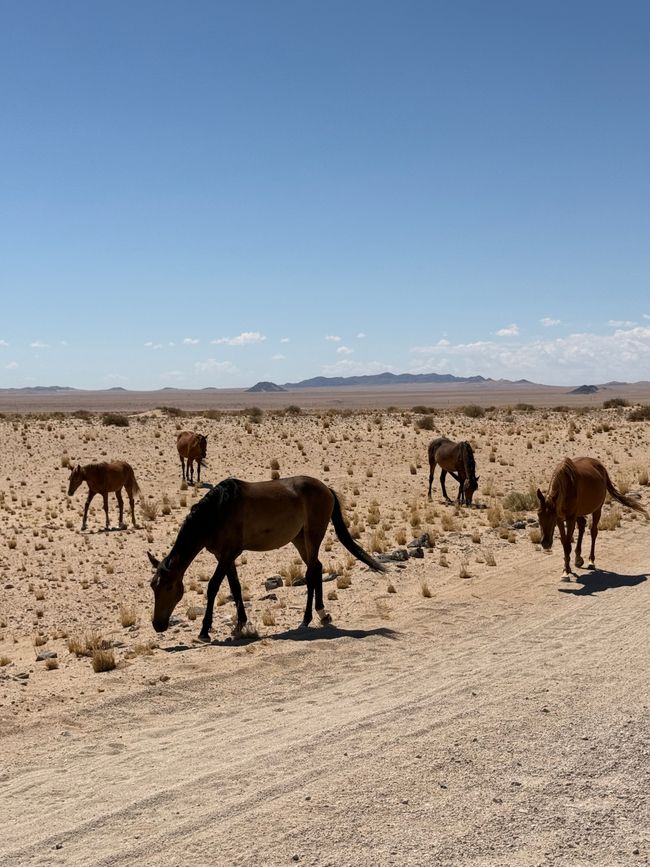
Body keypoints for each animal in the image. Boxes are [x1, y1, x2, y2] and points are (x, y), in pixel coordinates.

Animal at [147, 475, 386, 641]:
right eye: (153, 586)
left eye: (168, 587)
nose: (157, 625)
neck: (217, 511)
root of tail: (326, 489)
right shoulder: (224, 556)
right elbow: (235, 587)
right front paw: (241, 624)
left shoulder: (229, 554)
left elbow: (213, 586)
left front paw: (204, 631)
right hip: (299, 540)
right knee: (316, 568)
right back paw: (320, 615)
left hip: (313, 536)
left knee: (312, 571)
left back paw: (308, 618)